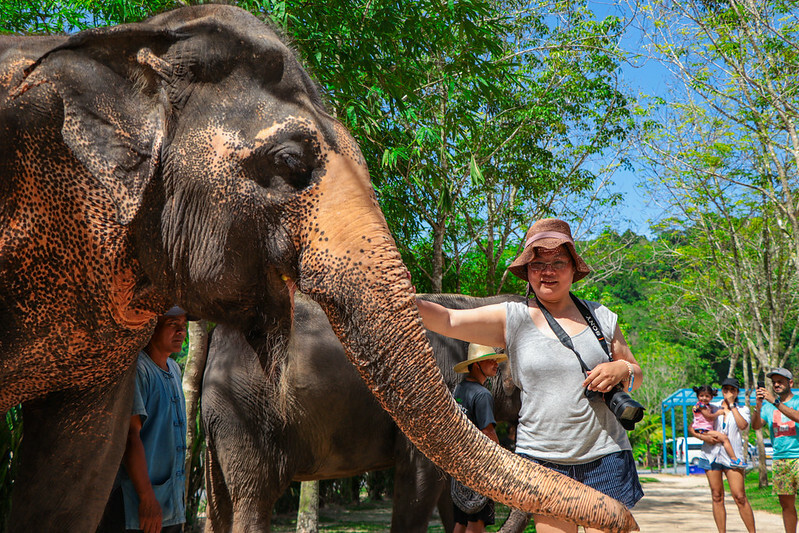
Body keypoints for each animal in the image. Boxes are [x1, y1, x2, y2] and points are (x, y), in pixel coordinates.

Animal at [201, 292, 526, 532]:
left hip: (222, 419)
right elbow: (422, 479)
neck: (479, 303)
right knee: (254, 499)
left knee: (221, 505)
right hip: (247, 414)